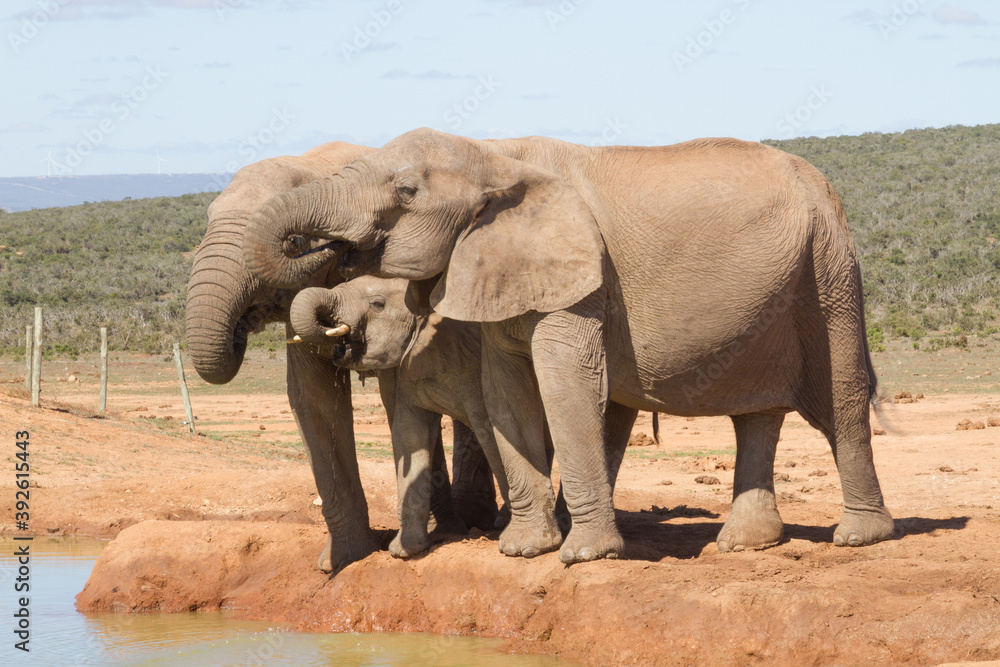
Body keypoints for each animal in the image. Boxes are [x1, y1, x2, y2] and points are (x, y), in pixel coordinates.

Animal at [184, 142, 497, 572]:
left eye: (294, 242)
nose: (241, 324)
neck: (318, 171)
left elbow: (398, 399)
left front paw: (443, 533)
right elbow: (312, 397)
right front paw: (344, 559)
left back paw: (481, 523)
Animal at [241, 128, 895, 564]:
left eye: (405, 191)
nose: (322, 248)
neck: (496, 153)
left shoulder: (582, 277)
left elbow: (562, 380)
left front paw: (583, 556)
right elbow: (506, 392)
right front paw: (524, 550)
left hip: (830, 271)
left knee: (840, 399)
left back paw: (859, 537)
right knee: (755, 413)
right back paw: (744, 544)